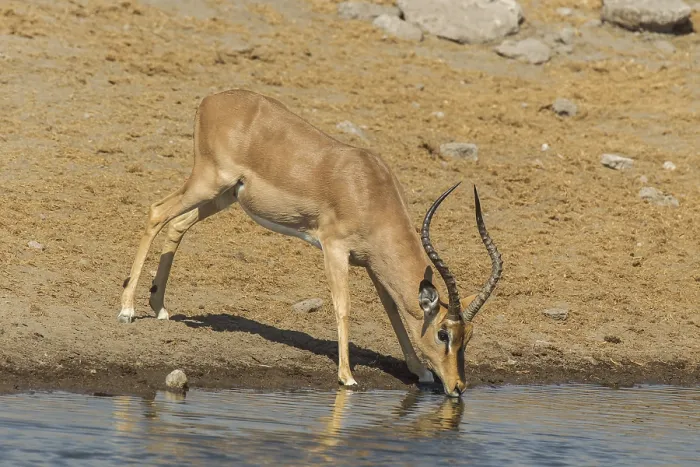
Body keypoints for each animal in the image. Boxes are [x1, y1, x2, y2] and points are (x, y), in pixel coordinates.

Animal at [118, 89, 502, 397]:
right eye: (443, 334)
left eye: (468, 336)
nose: (458, 387)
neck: (369, 188)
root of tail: (210, 100)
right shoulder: (335, 249)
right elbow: (343, 307)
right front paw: (347, 376)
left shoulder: (372, 263)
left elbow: (393, 312)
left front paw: (420, 371)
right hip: (207, 183)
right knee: (156, 212)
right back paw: (127, 310)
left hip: (222, 196)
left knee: (177, 224)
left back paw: (160, 308)